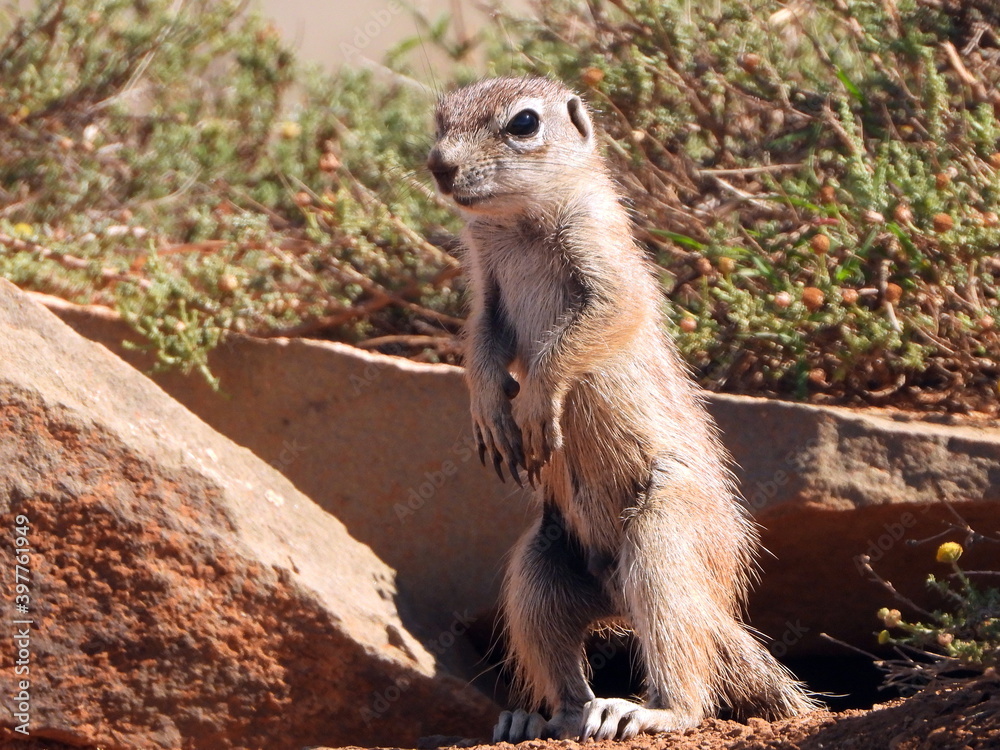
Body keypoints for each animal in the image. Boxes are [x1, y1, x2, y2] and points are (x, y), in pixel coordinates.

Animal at [427, 76, 817, 742]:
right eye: (440, 119)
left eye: (524, 123)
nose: (439, 165)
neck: (516, 226)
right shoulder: (485, 288)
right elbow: (480, 344)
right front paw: (490, 413)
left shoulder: (605, 265)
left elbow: (591, 328)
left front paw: (536, 402)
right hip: (539, 565)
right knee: (561, 659)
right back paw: (540, 719)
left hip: (663, 536)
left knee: (686, 672)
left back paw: (642, 710)